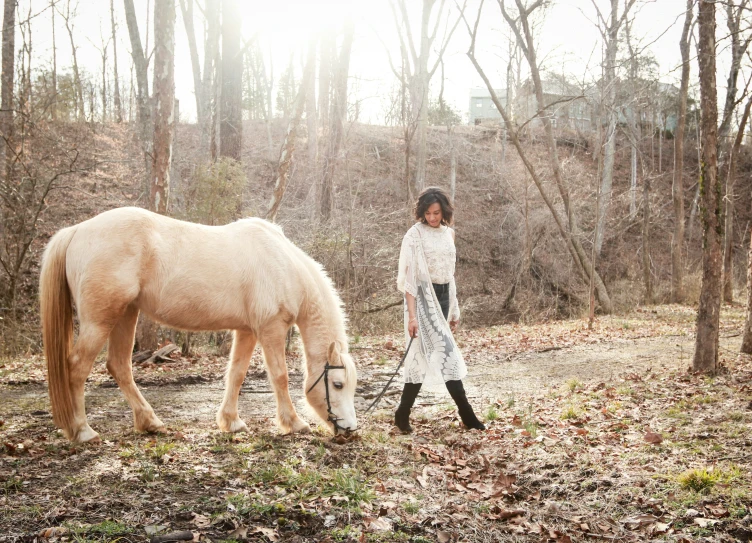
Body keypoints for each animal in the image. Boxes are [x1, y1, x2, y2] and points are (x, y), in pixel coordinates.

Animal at [39, 207, 358, 442]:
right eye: (338, 384)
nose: (350, 430)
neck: (283, 264)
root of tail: (77, 231)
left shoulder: (247, 331)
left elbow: (236, 374)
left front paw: (231, 422)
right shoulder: (271, 329)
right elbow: (279, 376)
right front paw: (294, 423)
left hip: (126, 314)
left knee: (119, 366)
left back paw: (150, 422)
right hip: (100, 320)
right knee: (77, 367)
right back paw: (83, 431)